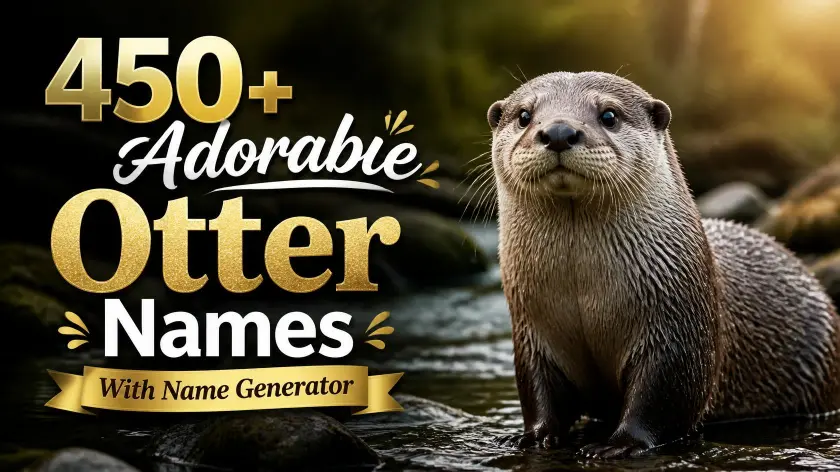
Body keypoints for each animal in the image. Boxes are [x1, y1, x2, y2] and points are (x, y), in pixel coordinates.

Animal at [488, 71, 840, 459]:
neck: (583, 293)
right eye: (524, 115)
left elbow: (661, 398)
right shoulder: (532, 334)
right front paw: (533, 436)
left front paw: (620, 444)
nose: (559, 132)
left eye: (609, 115)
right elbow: (538, 392)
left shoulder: (678, 333)